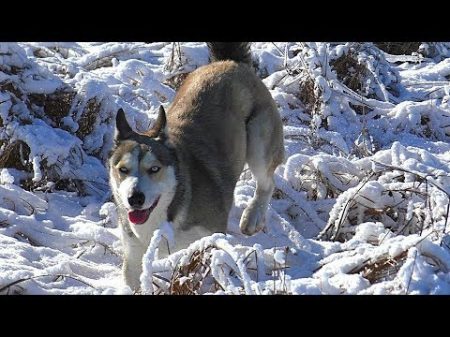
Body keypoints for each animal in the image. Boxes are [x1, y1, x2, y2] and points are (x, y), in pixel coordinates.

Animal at [109, 41, 284, 288]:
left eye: (154, 169)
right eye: (123, 170)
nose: (135, 198)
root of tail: (229, 62)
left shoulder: (209, 237)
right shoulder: (134, 254)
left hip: (259, 139)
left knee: (267, 181)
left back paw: (253, 216)